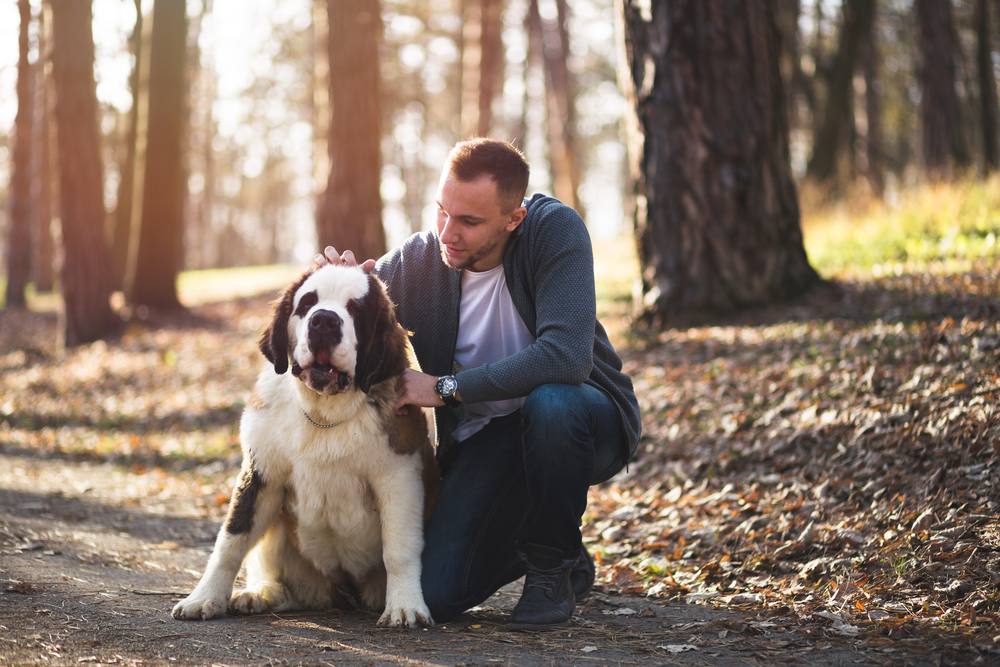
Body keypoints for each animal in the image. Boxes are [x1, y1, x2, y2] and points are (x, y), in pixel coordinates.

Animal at [171, 264, 438, 628]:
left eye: (355, 310)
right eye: (308, 303)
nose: (324, 320)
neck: (324, 413)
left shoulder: (400, 477)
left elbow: (399, 548)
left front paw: (405, 606)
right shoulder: (260, 473)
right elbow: (231, 539)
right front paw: (204, 598)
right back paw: (259, 594)